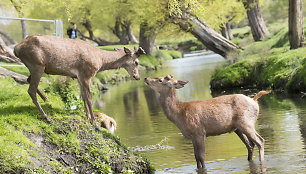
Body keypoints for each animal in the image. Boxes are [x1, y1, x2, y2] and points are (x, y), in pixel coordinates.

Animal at [14, 34, 146, 130]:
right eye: (136, 62)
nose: (137, 77)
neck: (100, 61)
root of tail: (16, 48)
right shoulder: (87, 74)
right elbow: (89, 98)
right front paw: (95, 123)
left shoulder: (79, 77)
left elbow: (82, 96)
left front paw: (87, 117)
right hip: (37, 64)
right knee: (30, 90)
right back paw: (46, 116)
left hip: (36, 67)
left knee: (28, 80)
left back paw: (47, 100)